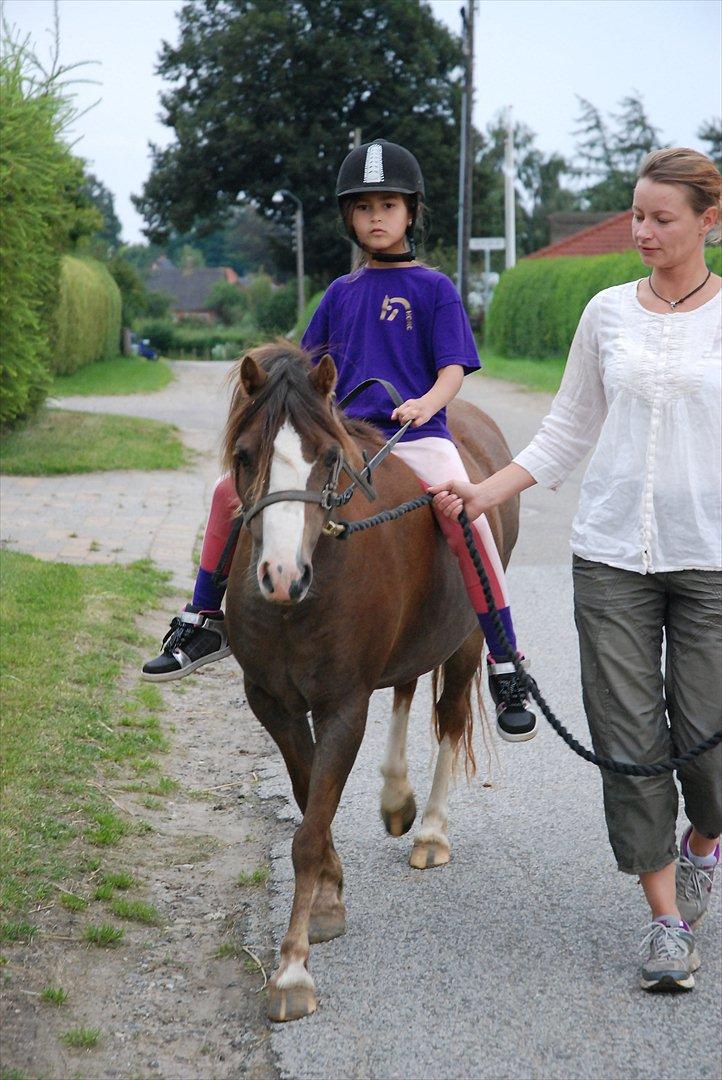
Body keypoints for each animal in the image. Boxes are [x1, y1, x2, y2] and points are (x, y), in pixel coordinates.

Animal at [222, 343, 515, 1019]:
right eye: (245, 456)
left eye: (329, 459)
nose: (282, 575)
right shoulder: (272, 703)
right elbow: (310, 802)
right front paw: (329, 898)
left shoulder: (343, 706)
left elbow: (309, 829)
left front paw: (292, 972)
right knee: (406, 691)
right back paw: (396, 799)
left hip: (465, 642)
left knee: (451, 720)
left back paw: (429, 829)